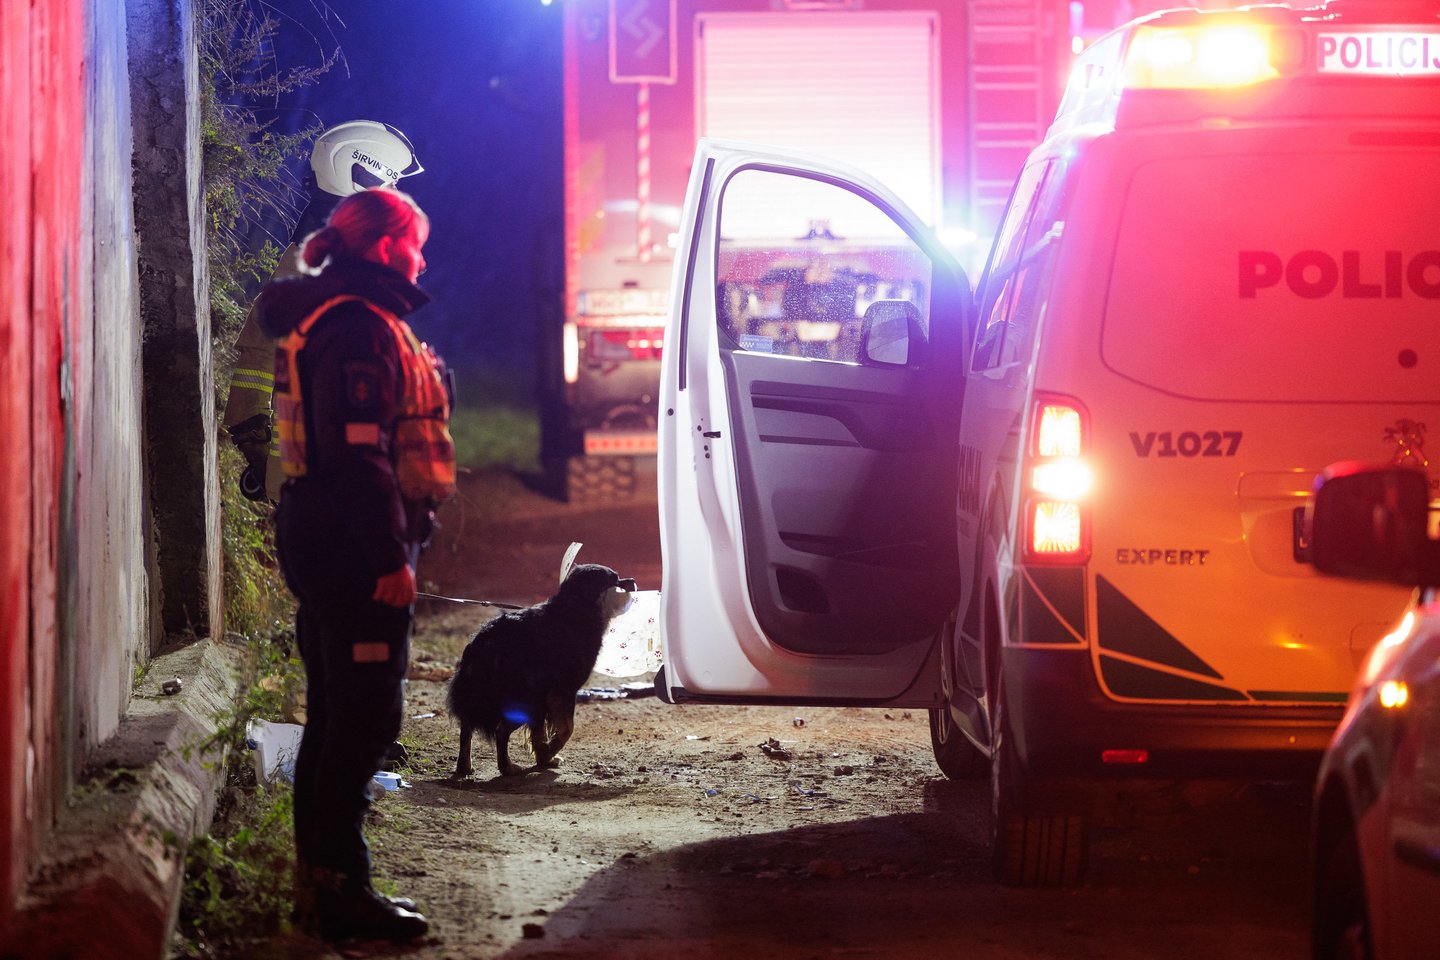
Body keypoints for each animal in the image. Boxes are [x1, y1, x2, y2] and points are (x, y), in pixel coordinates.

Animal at [447, 564, 637, 777]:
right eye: (615, 580)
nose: (632, 581)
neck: (577, 610)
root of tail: (486, 640)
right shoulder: (563, 691)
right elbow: (566, 729)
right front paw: (548, 752)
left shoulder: (545, 699)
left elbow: (540, 732)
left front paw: (543, 758)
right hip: (524, 698)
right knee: (500, 731)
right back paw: (507, 768)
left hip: (482, 696)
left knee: (466, 727)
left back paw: (465, 766)